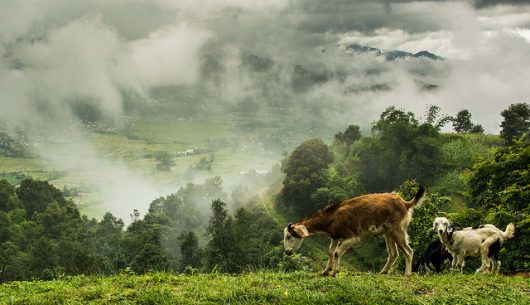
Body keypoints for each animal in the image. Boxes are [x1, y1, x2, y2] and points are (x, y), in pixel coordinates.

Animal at [282, 185, 422, 276]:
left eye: (289, 236)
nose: (287, 252)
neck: (332, 217)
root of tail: (404, 203)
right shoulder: (335, 237)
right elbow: (330, 252)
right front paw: (326, 271)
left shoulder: (352, 237)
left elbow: (337, 253)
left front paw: (334, 272)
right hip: (388, 232)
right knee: (393, 253)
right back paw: (383, 272)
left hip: (398, 230)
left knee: (409, 251)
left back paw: (407, 274)